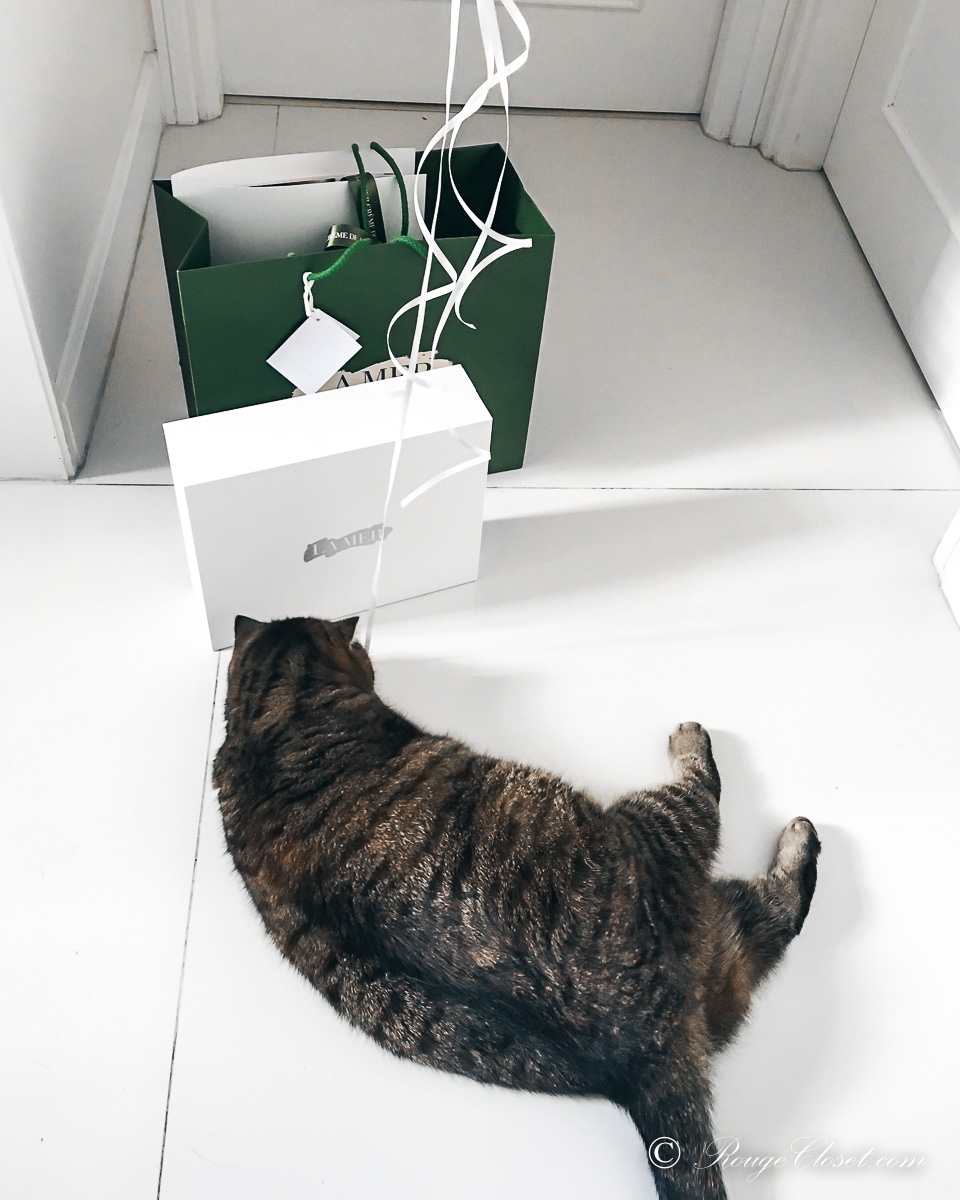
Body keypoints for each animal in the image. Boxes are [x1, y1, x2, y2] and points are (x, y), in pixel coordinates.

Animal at [213, 614, 820, 1200]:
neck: (267, 722)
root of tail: (647, 1058)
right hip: (661, 832)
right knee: (726, 821)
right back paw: (763, 802)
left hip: (722, 932)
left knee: (776, 920)